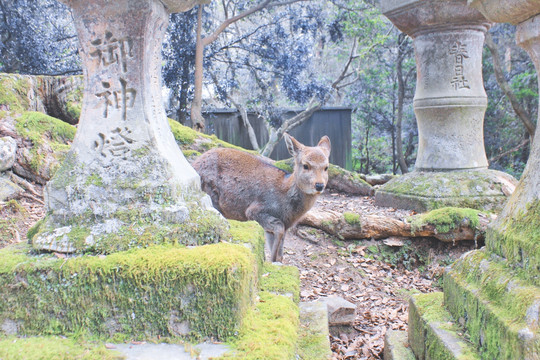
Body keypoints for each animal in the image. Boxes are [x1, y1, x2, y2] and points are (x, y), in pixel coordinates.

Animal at [192, 134, 332, 262]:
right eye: (306, 165)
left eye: (326, 167)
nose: (319, 185)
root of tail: (195, 164)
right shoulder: (255, 210)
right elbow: (278, 229)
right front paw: (270, 261)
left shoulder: (285, 225)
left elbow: (280, 250)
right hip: (210, 195)